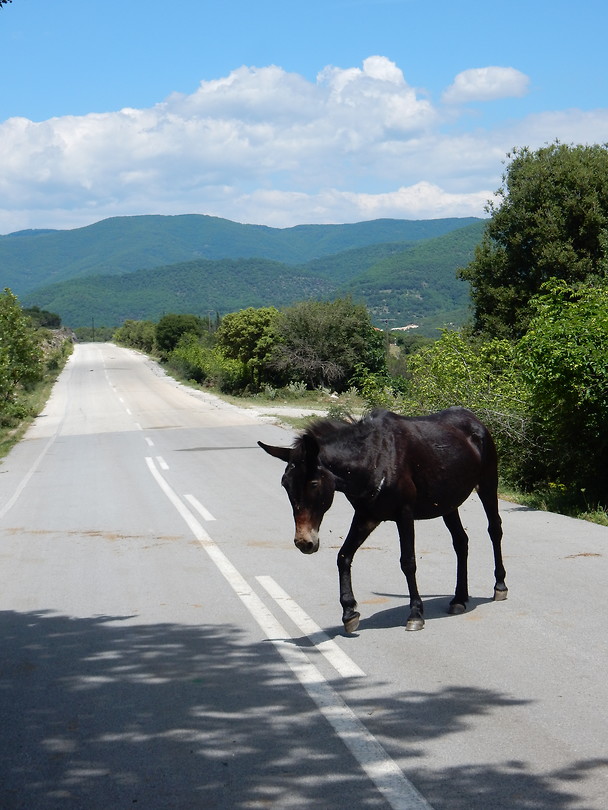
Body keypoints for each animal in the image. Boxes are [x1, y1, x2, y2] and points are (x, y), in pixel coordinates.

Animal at [259, 407, 507, 633]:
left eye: (313, 483)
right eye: (285, 484)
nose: (304, 542)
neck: (372, 459)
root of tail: (474, 420)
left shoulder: (404, 514)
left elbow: (408, 562)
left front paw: (415, 613)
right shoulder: (366, 516)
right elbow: (343, 556)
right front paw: (349, 612)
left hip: (487, 484)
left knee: (494, 529)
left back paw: (500, 585)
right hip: (449, 503)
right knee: (461, 541)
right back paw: (459, 598)